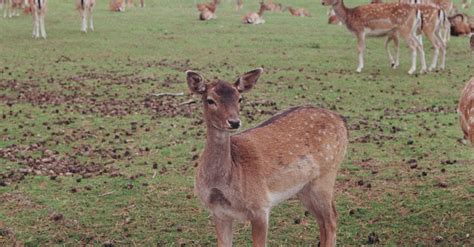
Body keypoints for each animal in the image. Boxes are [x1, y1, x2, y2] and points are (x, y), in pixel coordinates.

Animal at [188, 68, 348, 247]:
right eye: (210, 100)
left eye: (240, 98)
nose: (234, 122)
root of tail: (342, 120)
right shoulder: (218, 212)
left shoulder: (261, 207)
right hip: (304, 187)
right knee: (323, 221)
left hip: (326, 175)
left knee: (331, 218)